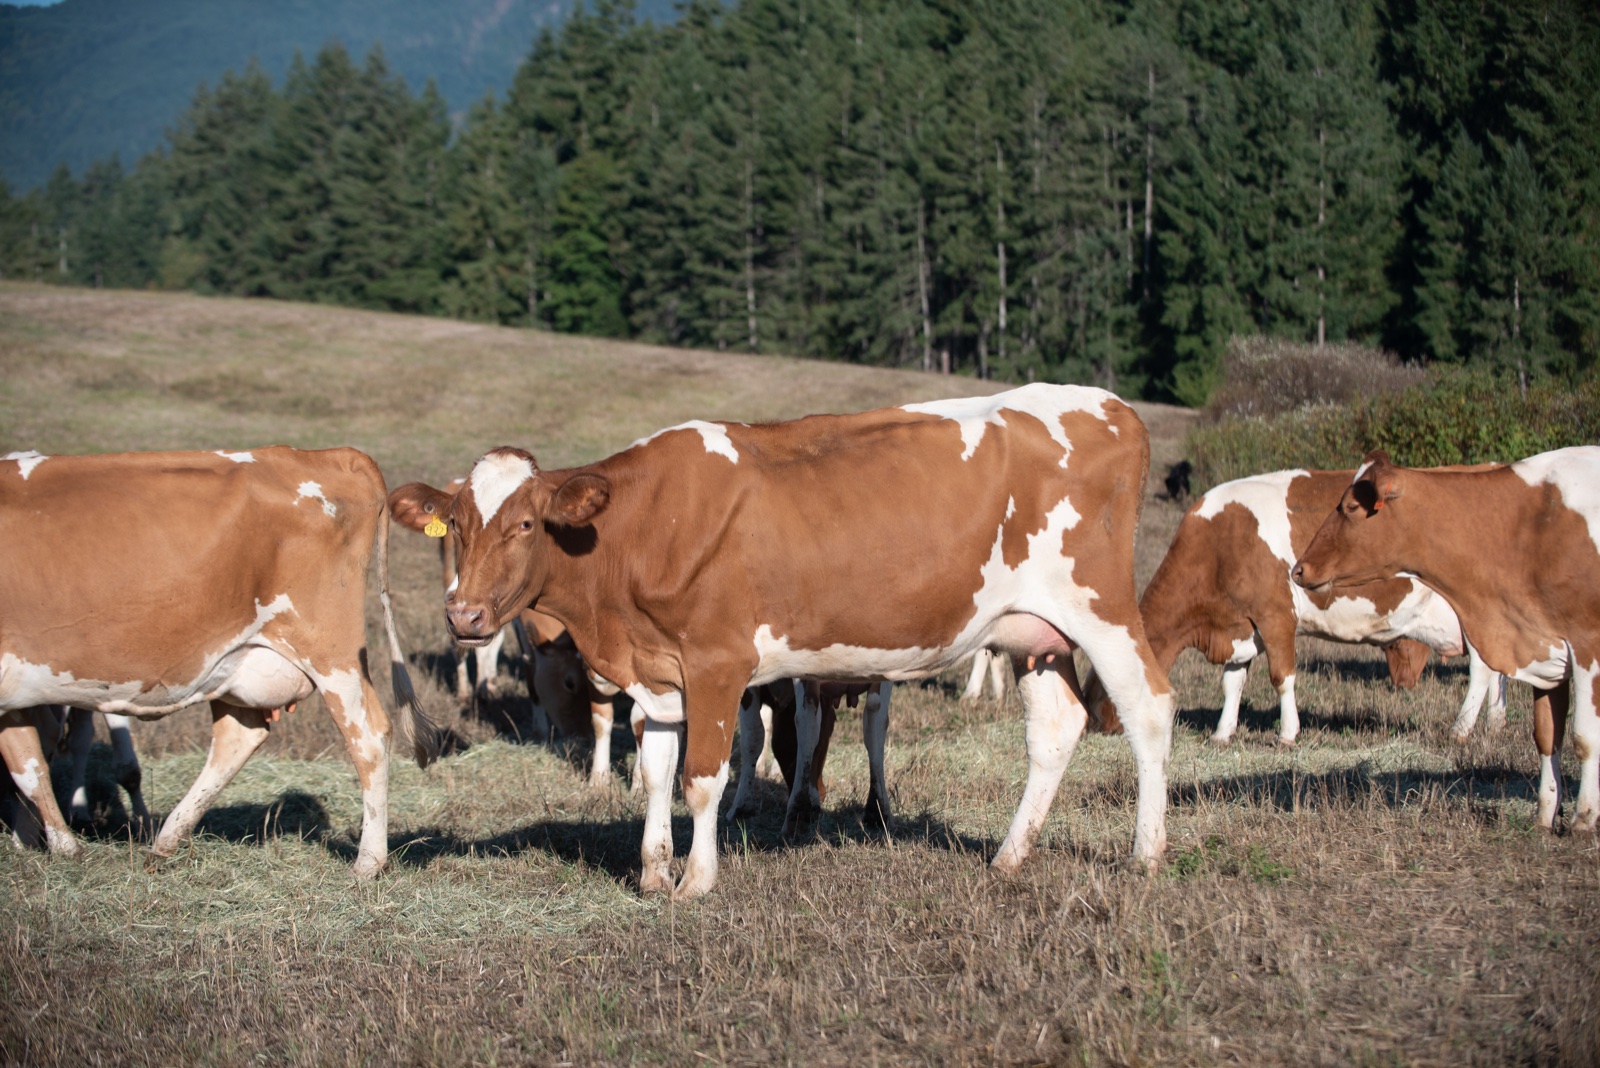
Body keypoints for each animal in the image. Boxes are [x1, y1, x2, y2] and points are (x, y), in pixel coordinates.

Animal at [0, 446, 439, 877]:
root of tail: (332, 455)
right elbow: (27, 763)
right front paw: (38, 843)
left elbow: (28, 764)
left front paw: (54, 845)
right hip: (238, 663)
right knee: (238, 738)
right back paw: (164, 842)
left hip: (329, 651)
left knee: (368, 737)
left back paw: (368, 862)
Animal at [389, 384, 1175, 898]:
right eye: (459, 526)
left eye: (525, 524)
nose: (463, 615)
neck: (639, 530)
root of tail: (1110, 407)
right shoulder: (659, 672)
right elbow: (657, 771)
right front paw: (652, 870)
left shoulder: (716, 663)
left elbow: (703, 778)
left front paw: (696, 880)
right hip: (1034, 631)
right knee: (1056, 727)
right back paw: (1011, 856)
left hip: (1101, 609)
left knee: (1148, 709)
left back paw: (1146, 855)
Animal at [1087, 468, 1506, 746]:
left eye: (1104, 684)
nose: (1095, 725)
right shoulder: (1242, 624)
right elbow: (1231, 682)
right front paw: (1223, 732)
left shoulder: (1276, 616)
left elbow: (1282, 677)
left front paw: (1288, 733)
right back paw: (1495, 723)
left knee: (1482, 671)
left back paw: (1461, 729)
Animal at [1292, 447, 1600, 833]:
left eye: (1350, 507)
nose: (1298, 569)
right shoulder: (1540, 648)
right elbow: (1546, 736)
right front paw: (1544, 816)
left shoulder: (1588, 646)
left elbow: (1585, 738)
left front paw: (1583, 819)